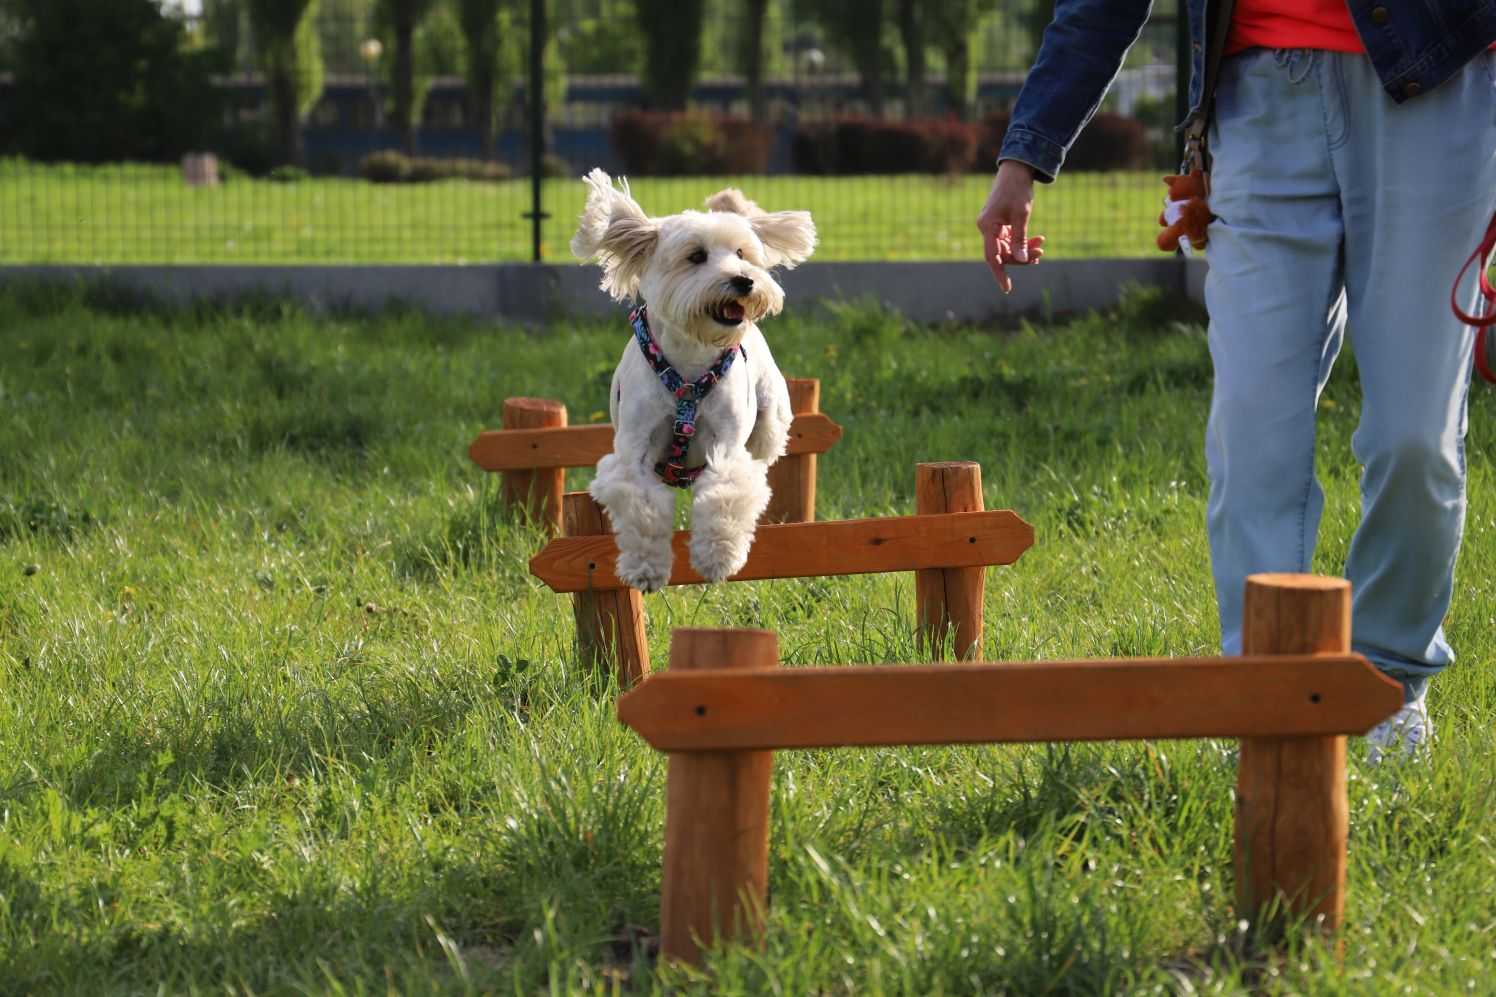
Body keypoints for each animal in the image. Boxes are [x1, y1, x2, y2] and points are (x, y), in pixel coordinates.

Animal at [568, 169, 819, 589]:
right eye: (696, 256)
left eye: (741, 254)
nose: (744, 280)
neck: (689, 365)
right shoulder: (635, 448)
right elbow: (641, 504)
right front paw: (646, 568)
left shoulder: (726, 442)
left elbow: (724, 491)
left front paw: (718, 557)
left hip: (771, 412)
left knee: (767, 442)